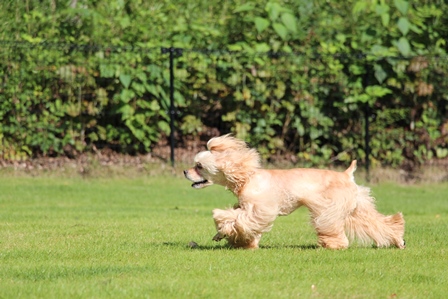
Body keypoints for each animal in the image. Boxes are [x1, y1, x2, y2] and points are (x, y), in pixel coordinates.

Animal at [183, 135, 406, 250]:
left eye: (199, 166)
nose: (185, 172)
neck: (246, 177)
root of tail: (346, 174)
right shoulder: (251, 209)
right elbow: (239, 222)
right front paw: (233, 238)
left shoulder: (260, 210)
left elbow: (234, 219)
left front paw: (225, 228)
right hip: (355, 208)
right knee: (378, 223)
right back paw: (398, 241)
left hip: (329, 209)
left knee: (333, 230)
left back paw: (332, 244)